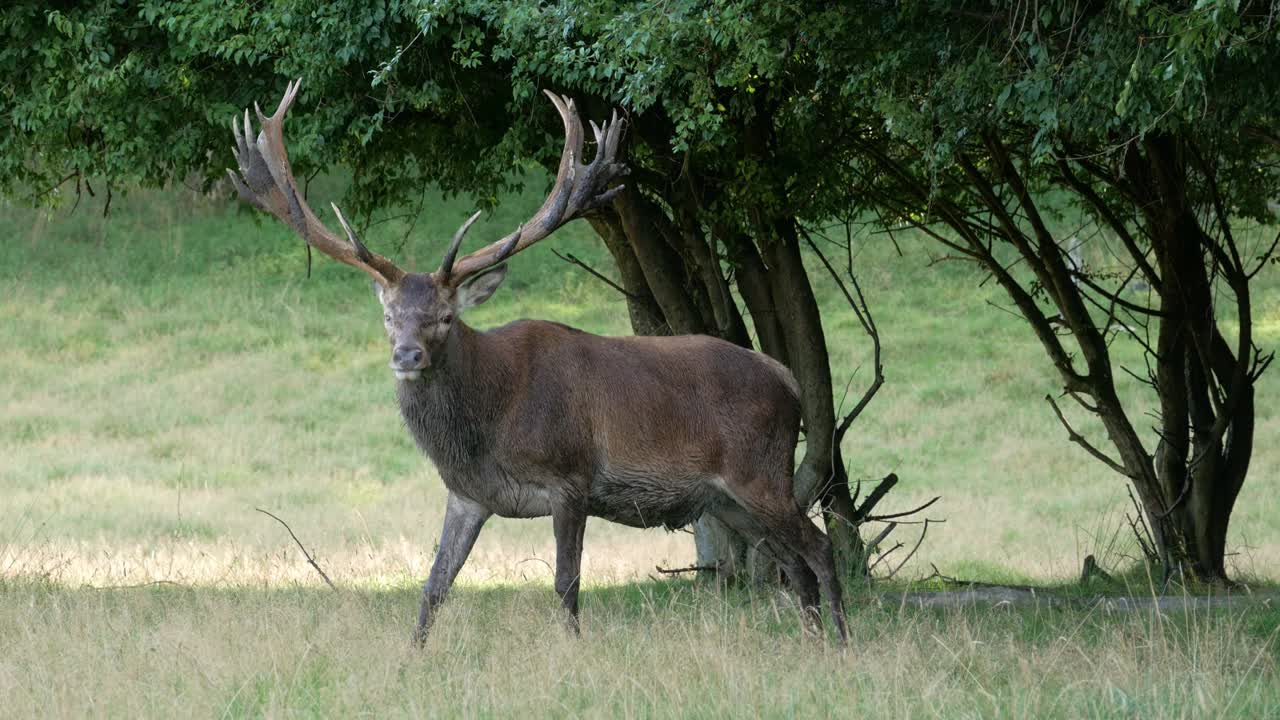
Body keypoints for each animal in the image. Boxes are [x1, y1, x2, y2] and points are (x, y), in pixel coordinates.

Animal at [227, 80, 848, 644]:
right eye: (387, 316)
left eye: (446, 317)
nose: (407, 354)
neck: (488, 425)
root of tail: (788, 379)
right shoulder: (467, 493)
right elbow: (434, 586)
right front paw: (411, 659)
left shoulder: (571, 477)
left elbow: (566, 584)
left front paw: (573, 653)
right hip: (726, 498)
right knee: (793, 565)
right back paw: (813, 641)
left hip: (759, 471)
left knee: (820, 548)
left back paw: (840, 643)